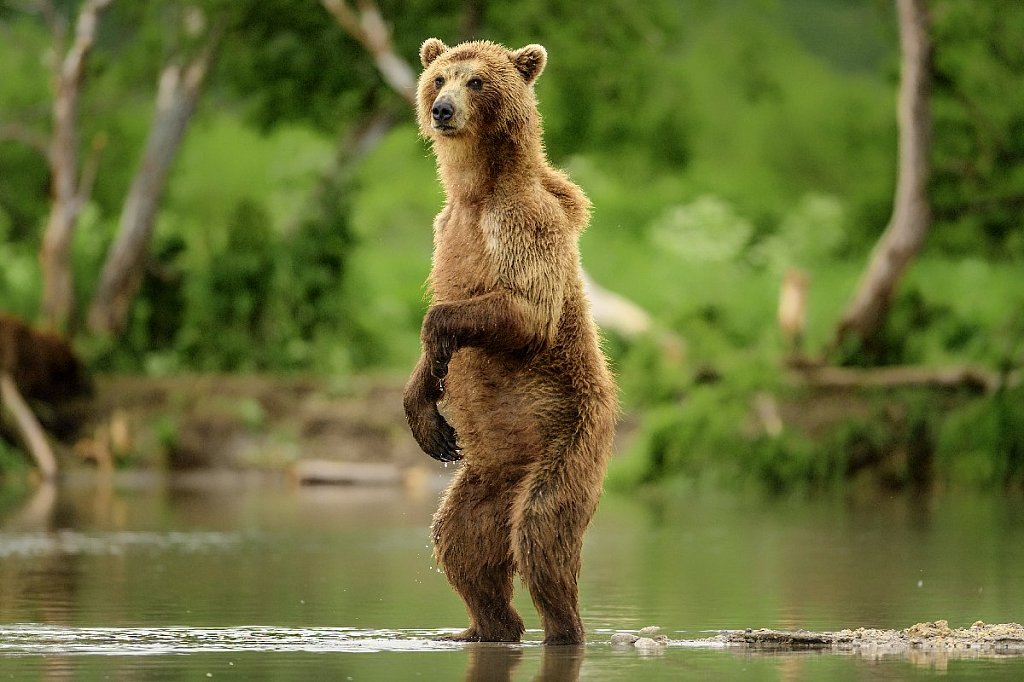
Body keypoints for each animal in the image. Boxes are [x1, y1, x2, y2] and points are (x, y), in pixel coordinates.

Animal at [403, 38, 618, 646]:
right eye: (440, 77)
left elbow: (525, 308)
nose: (442, 110)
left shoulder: (522, 223)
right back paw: (485, 627)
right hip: (484, 478)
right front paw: (427, 415)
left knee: (542, 536)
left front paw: (437, 337)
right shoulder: (445, 229)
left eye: (476, 81)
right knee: (460, 542)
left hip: (570, 440)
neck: (474, 192)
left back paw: (563, 626)